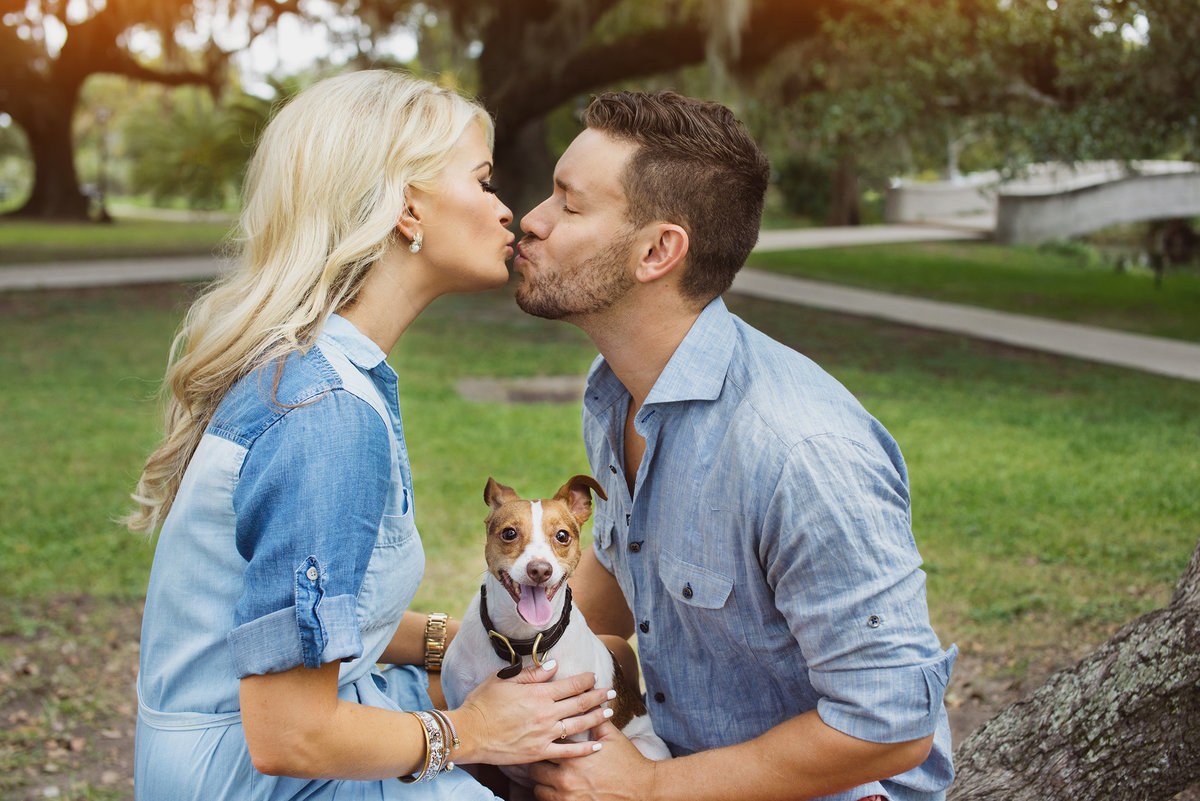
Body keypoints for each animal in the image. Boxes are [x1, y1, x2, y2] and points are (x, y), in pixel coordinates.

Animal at [441, 474, 672, 786]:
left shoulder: (576, 740)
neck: (522, 641)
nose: (540, 570)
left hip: (643, 745)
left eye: (562, 536)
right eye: (509, 533)